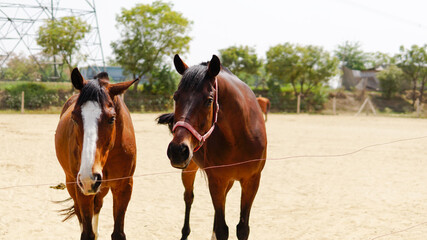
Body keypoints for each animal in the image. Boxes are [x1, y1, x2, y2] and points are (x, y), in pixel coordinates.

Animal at [55, 68, 138, 240]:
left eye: (112, 118)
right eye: (74, 118)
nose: (89, 177)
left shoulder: (124, 186)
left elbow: (118, 233)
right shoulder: (82, 188)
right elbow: (87, 233)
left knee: (97, 206)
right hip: (73, 183)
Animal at [158, 54, 268, 240]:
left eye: (209, 100)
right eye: (175, 97)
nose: (177, 151)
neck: (239, 137)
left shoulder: (252, 180)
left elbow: (242, 229)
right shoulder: (217, 180)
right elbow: (223, 229)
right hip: (190, 168)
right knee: (189, 197)